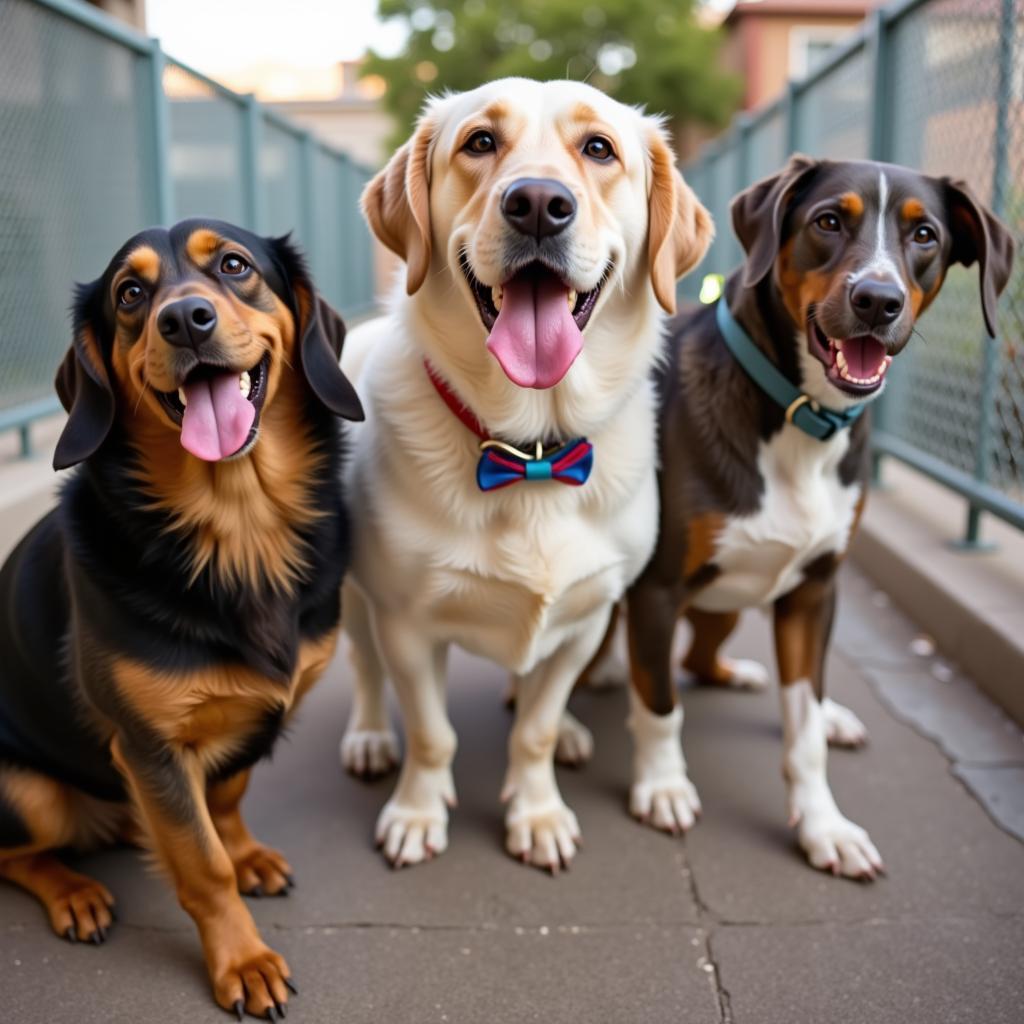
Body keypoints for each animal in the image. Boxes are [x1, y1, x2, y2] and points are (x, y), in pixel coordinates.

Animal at [0, 220, 364, 1019]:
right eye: (130, 295)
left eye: (233, 265)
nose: (185, 320)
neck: (238, 526)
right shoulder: (150, 747)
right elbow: (202, 867)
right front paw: (243, 961)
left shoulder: (230, 734)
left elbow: (224, 802)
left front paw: (246, 854)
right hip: (30, 794)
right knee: (21, 853)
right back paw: (74, 893)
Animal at [335, 75, 712, 868]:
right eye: (480, 141)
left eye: (598, 148)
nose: (538, 202)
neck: (533, 453)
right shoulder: (406, 623)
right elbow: (431, 733)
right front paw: (417, 811)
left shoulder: (588, 617)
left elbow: (534, 728)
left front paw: (536, 812)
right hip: (354, 600)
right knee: (364, 669)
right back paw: (369, 736)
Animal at [610, 157, 1011, 880]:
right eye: (828, 221)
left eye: (926, 235)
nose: (877, 300)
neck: (802, 416)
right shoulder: (655, 588)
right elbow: (658, 704)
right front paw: (662, 786)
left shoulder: (814, 594)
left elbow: (803, 734)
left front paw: (825, 825)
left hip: (734, 605)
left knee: (705, 659)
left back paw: (798, 702)